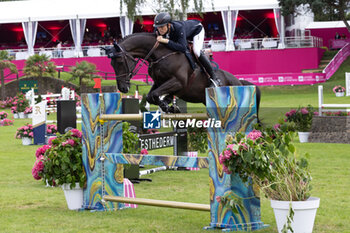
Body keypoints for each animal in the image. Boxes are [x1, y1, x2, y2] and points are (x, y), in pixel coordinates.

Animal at [104, 32, 260, 117]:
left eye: (119, 61)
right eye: (111, 64)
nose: (122, 88)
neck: (160, 54)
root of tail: (239, 82)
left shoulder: (178, 82)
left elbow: (155, 95)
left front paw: (168, 106)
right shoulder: (159, 83)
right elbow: (151, 96)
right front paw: (169, 106)